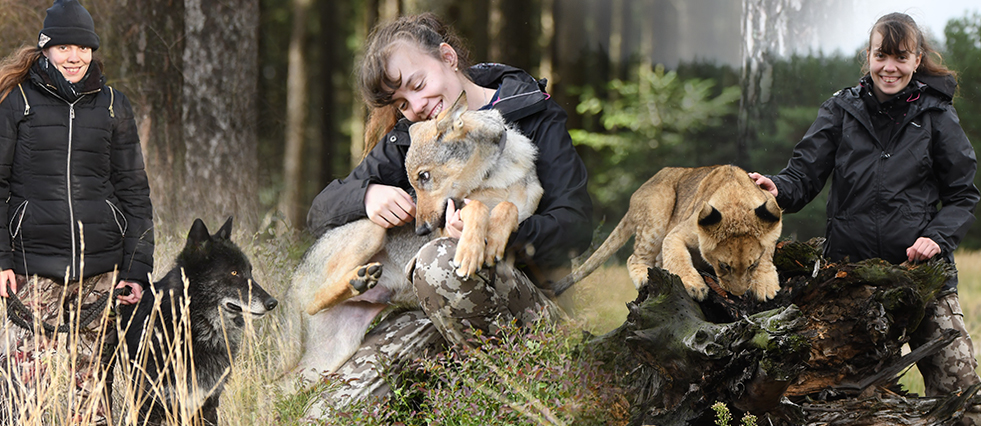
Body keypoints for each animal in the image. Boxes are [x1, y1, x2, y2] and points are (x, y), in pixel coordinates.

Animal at [287, 91, 542, 384]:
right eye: (414, 182)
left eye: (425, 176)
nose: (420, 230)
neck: (495, 177)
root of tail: (294, 277)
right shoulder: (450, 222)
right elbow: (477, 207)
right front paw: (470, 250)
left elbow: (508, 208)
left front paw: (496, 239)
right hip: (372, 228)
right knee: (313, 302)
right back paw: (358, 279)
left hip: (328, 358)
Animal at [552, 165, 782, 301]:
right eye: (723, 265)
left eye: (751, 265)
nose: (738, 294)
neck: (736, 203)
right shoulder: (678, 232)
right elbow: (678, 256)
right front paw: (694, 285)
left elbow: (767, 252)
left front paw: (765, 284)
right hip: (659, 208)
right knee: (634, 257)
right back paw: (644, 277)